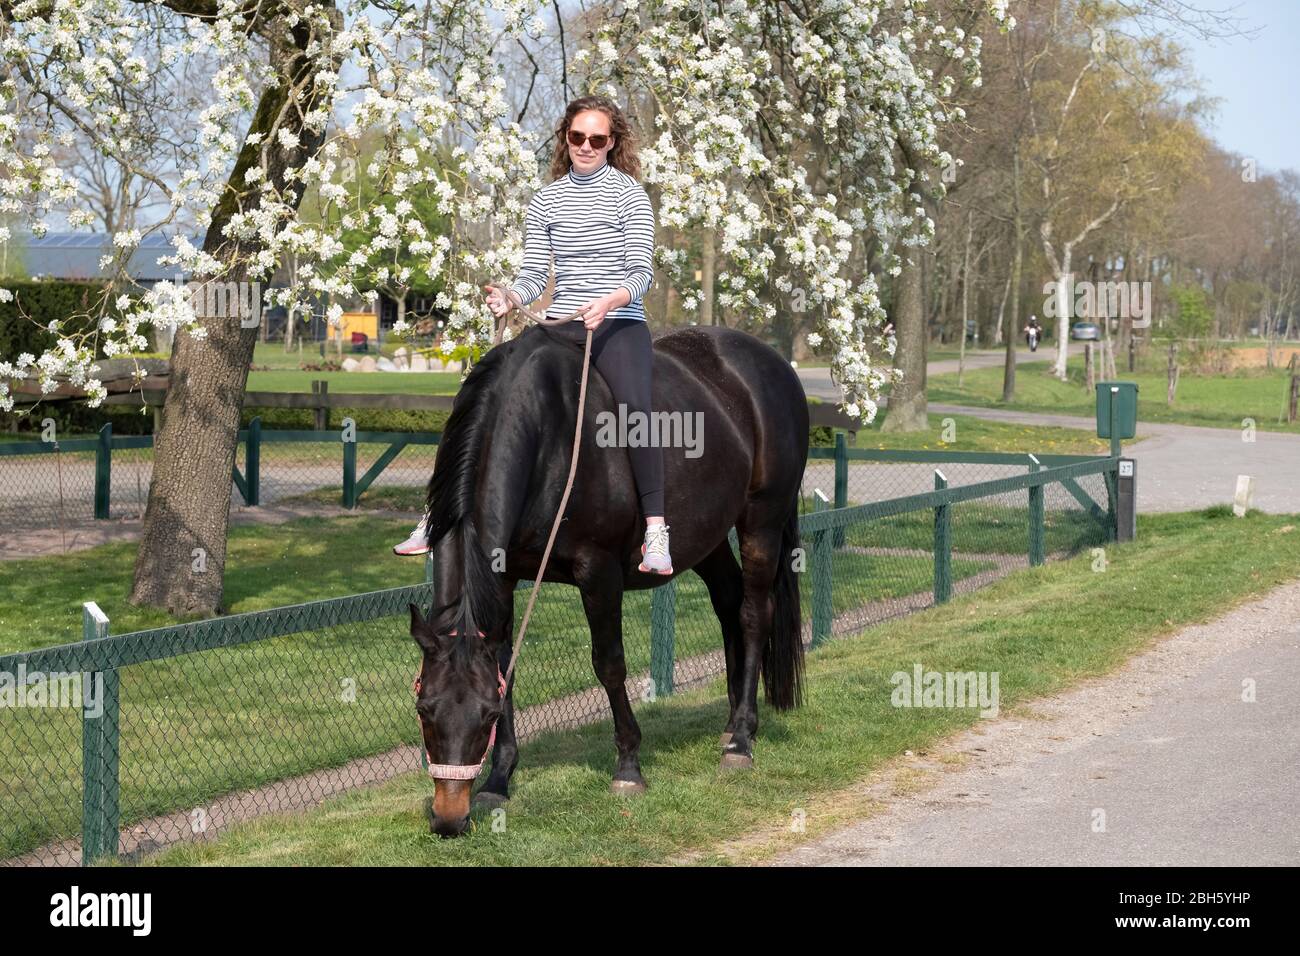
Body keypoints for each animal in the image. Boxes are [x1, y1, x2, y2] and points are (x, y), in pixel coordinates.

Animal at [410, 323, 806, 837]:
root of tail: (770, 363)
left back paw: (740, 739)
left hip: (763, 521)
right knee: (728, 603)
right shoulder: (505, 577)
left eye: (486, 716)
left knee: (755, 614)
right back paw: (733, 720)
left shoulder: (598, 572)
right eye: (424, 710)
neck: (547, 436)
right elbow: (504, 667)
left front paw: (629, 767)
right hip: (709, 536)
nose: (448, 819)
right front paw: (499, 779)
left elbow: (609, 664)